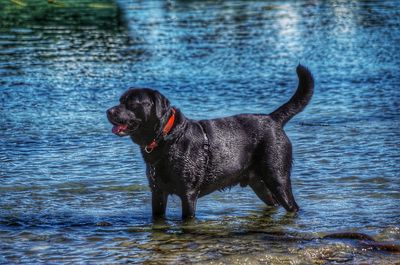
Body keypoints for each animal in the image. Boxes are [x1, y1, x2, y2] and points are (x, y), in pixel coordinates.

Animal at [108, 65, 314, 219]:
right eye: (120, 100)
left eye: (132, 103)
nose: (108, 111)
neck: (168, 139)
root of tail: (272, 119)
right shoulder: (157, 193)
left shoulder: (188, 194)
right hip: (259, 184)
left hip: (278, 177)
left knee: (292, 205)